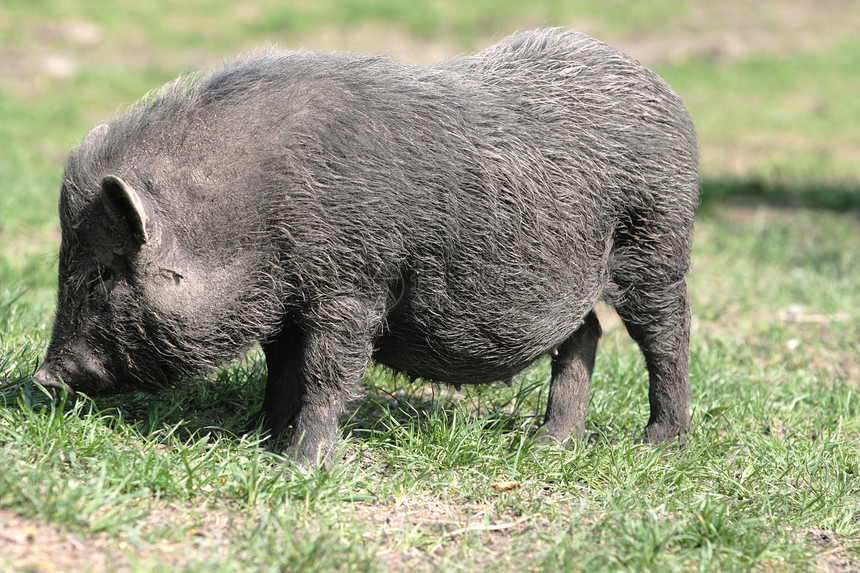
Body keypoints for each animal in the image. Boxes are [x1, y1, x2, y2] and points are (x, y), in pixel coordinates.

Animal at [33, 27, 700, 464]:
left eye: (103, 273)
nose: (44, 378)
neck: (248, 215)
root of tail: (661, 87)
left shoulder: (351, 287)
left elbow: (326, 373)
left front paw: (299, 465)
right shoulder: (287, 303)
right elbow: (282, 367)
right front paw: (258, 437)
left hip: (657, 242)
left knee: (666, 336)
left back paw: (657, 445)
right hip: (573, 274)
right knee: (585, 332)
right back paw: (548, 446)